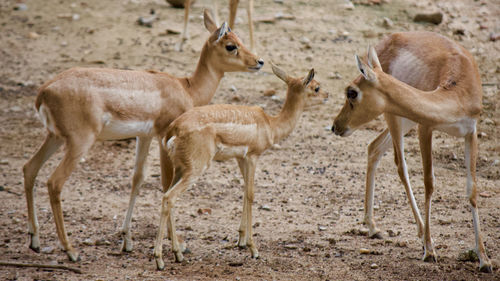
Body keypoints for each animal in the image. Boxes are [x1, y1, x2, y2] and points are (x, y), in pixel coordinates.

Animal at [22, 9, 264, 262]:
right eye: (230, 45)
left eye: (240, 39)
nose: (259, 61)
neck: (186, 88)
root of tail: (44, 91)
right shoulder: (162, 136)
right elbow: (166, 184)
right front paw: (177, 248)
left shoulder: (144, 136)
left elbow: (137, 179)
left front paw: (127, 241)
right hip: (79, 142)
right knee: (54, 182)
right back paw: (70, 250)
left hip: (55, 137)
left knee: (30, 168)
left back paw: (35, 240)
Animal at [152, 62, 328, 268]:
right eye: (316, 87)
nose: (327, 95)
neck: (270, 125)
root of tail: (173, 129)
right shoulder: (252, 156)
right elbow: (251, 194)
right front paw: (253, 249)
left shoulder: (240, 158)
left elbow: (244, 192)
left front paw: (241, 240)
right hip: (194, 170)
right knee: (168, 198)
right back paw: (159, 259)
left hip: (180, 169)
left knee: (167, 195)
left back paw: (178, 254)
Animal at [332, 31, 492, 272]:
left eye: (352, 92)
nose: (335, 126)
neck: (457, 91)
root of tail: (389, 39)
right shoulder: (425, 127)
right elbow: (429, 183)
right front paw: (430, 250)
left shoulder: (470, 132)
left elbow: (472, 190)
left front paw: (484, 259)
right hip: (396, 116)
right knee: (401, 165)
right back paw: (415, 234)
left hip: (405, 117)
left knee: (374, 147)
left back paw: (373, 227)